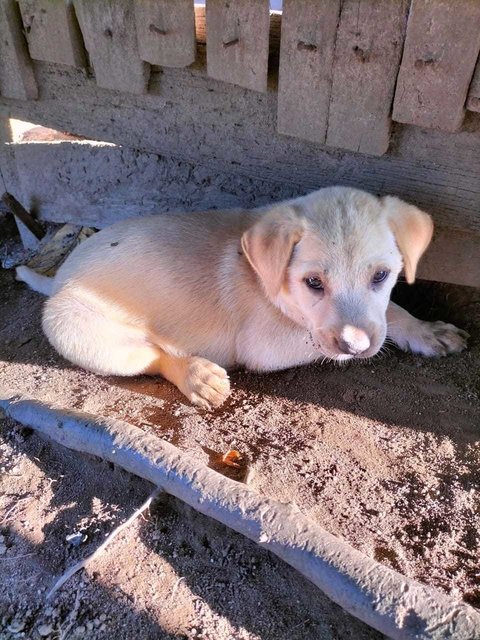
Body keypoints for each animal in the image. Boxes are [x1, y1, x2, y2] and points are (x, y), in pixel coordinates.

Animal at [16, 188, 466, 410]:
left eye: (381, 275)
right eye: (313, 283)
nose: (356, 347)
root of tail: (58, 279)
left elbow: (388, 311)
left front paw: (425, 330)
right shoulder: (267, 345)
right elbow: (323, 340)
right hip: (77, 329)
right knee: (152, 355)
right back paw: (198, 375)